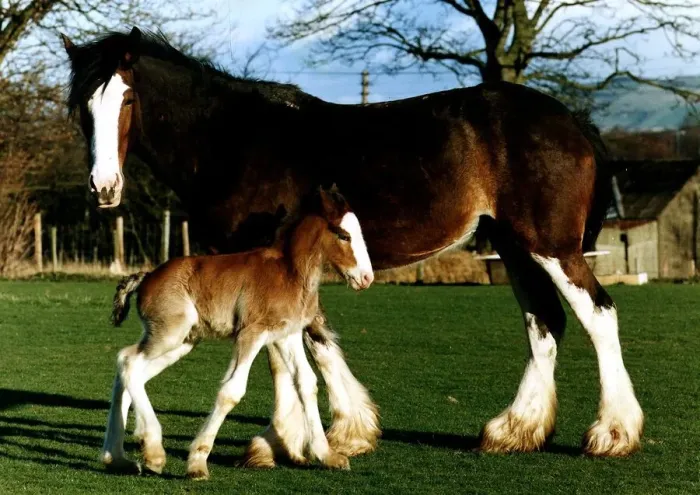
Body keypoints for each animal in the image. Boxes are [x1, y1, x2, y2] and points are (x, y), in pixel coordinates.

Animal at [104, 185, 373, 478]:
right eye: (344, 235)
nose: (367, 278)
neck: (289, 271)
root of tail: (147, 276)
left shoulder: (286, 335)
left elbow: (307, 383)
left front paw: (327, 455)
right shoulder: (251, 334)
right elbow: (232, 391)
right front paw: (197, 462)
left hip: (182, 342)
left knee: (129, 373)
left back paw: (117, 457)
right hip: (169, 335)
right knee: (128, 361)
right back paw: (152, 451)